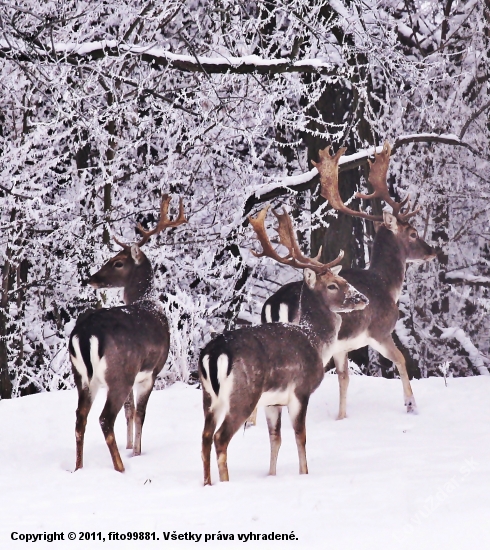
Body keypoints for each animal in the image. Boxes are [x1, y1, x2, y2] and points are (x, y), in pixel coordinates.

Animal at [67, 194, 186, 474]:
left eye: (118, 262)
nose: (91, 279)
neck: (149, 302)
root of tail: (85, 335)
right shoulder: (150, 371)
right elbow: (141, 413)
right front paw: (138, 453)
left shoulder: (135, 375)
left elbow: (130, 411)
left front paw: (131, 446)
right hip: (118, 372)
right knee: (104, 418)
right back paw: (120, 467)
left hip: (83, 377)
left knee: (80, 418)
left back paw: (78, 468)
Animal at [199, 205, 368, 486]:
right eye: (333, 285)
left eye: (342, 279)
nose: (362, 298)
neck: (315, 341)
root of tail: (213, 354)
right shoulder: (300, 390)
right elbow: (301, 436)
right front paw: (304, 473)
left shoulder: (272, 403)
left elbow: (275, 439)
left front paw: (271, 475)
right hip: (243, 394)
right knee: (220, 438)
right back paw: (225, 483)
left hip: (209, 397)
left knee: (203, 438)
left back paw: (207, 484)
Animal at [260, 143, 436, 422]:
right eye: (413, 233)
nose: (432, 250)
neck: (387, 286)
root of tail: (274, 304)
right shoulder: (379, 330)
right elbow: (400, 360)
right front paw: (411, 405)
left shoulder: (341, 347)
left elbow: (344, 378)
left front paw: (341, 417)